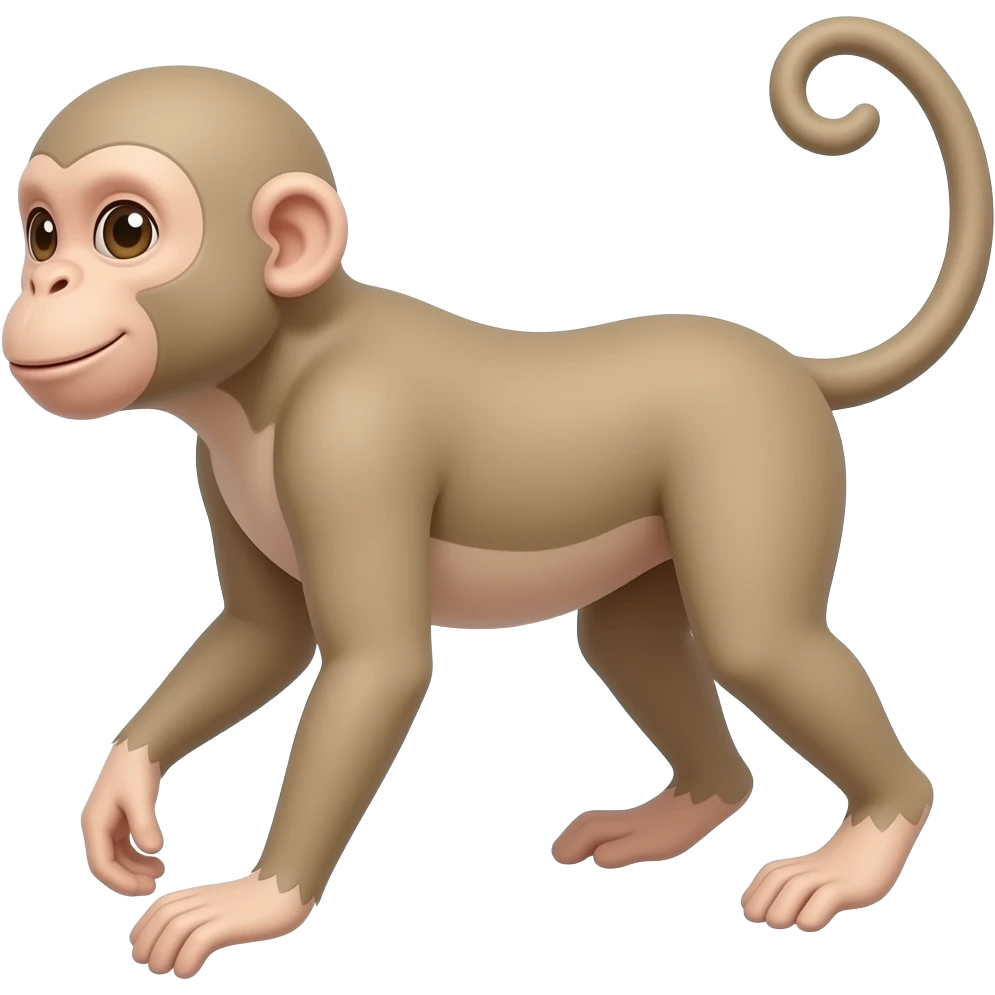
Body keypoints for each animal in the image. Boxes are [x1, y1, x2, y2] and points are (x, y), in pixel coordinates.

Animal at [2, 16, 989, 977]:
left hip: (754, 457)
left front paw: (256, 901)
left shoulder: (351, 441)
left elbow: (378, 664)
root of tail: (788, 366)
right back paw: (683, 810)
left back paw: (865, 843)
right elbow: (261, 636)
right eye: (43, 234)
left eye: (126, 232)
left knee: (758, 641)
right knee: (628, 642)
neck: (278, 363)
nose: (46, 285)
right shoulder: (220, 459)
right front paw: (120, 791)